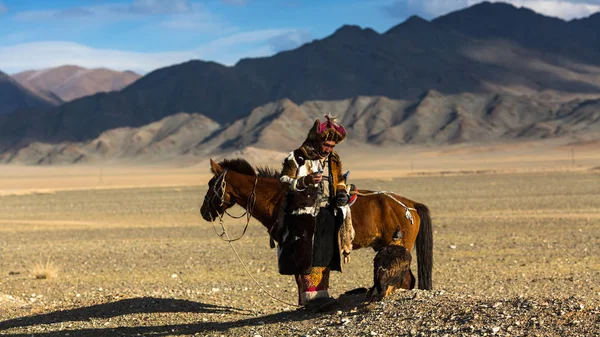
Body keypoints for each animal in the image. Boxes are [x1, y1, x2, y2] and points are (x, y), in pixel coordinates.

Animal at [199, 158, 434, 302]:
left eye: (211, 184)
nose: (204, 212)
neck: (280, 201)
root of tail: (411, 205)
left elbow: (301, 278)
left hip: (398, 248)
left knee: (407, 280)